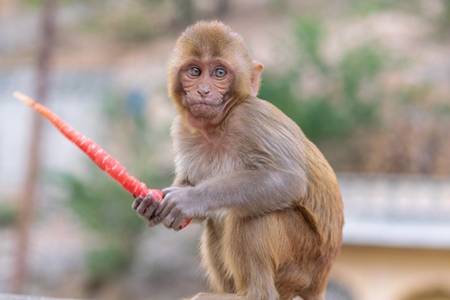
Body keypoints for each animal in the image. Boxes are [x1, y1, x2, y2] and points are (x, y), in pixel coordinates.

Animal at [132, 21, 342, 300]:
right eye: (195, 71)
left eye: (219, 72)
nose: (203, 90)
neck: (218, 126)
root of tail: (320, 281)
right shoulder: (182, 129)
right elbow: (189, 188)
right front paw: (154, 206)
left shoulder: (252, 117)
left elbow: (287, 179)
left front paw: (188, 200)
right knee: (219, 220)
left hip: (302, 261)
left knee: (255, 212)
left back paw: (253, 293)